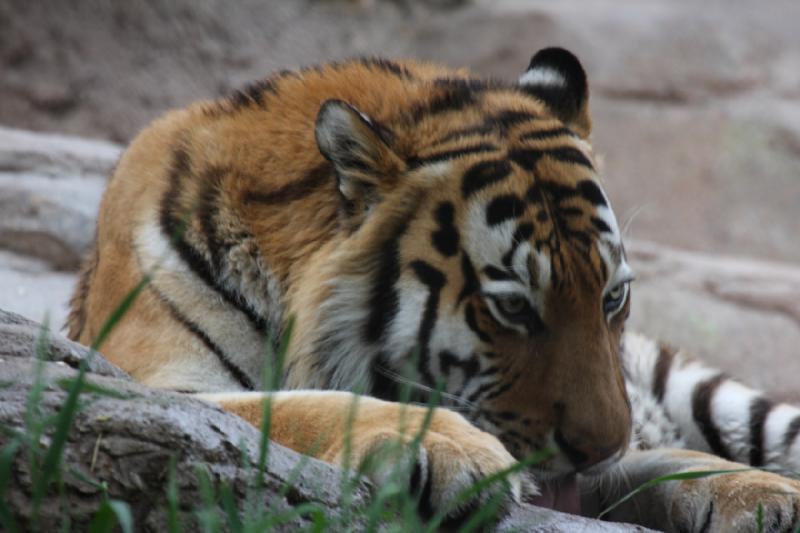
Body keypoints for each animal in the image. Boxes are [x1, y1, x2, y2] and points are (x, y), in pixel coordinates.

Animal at [67, 47, 800, 528]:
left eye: (612, 298)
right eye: (512, 307)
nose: (602, 447)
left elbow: (670, 459)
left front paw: (764, 493)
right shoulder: (157, 386)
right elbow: (310, 403)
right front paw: (460, 453)